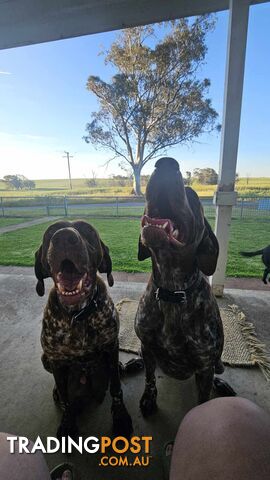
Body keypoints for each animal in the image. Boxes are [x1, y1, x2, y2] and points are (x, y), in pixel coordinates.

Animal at [34, 221, 133, 438]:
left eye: (87, 230)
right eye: (51, 232)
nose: (64, 237)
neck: (77, 315)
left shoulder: (112, 346)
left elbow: (116, 388)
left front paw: (120, 417)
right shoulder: (55, 360)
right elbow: (66, 400)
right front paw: (67, 423)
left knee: (117, 372)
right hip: (46, 359)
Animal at [135, 158, 234, 416]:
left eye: (192, 194)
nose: (165, 163)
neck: (172, 290)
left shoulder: (204, 365)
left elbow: (204, 398)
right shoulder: (147, 346)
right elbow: (149, 377)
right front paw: (149, 397)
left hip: (215, 363)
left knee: (218, 369)